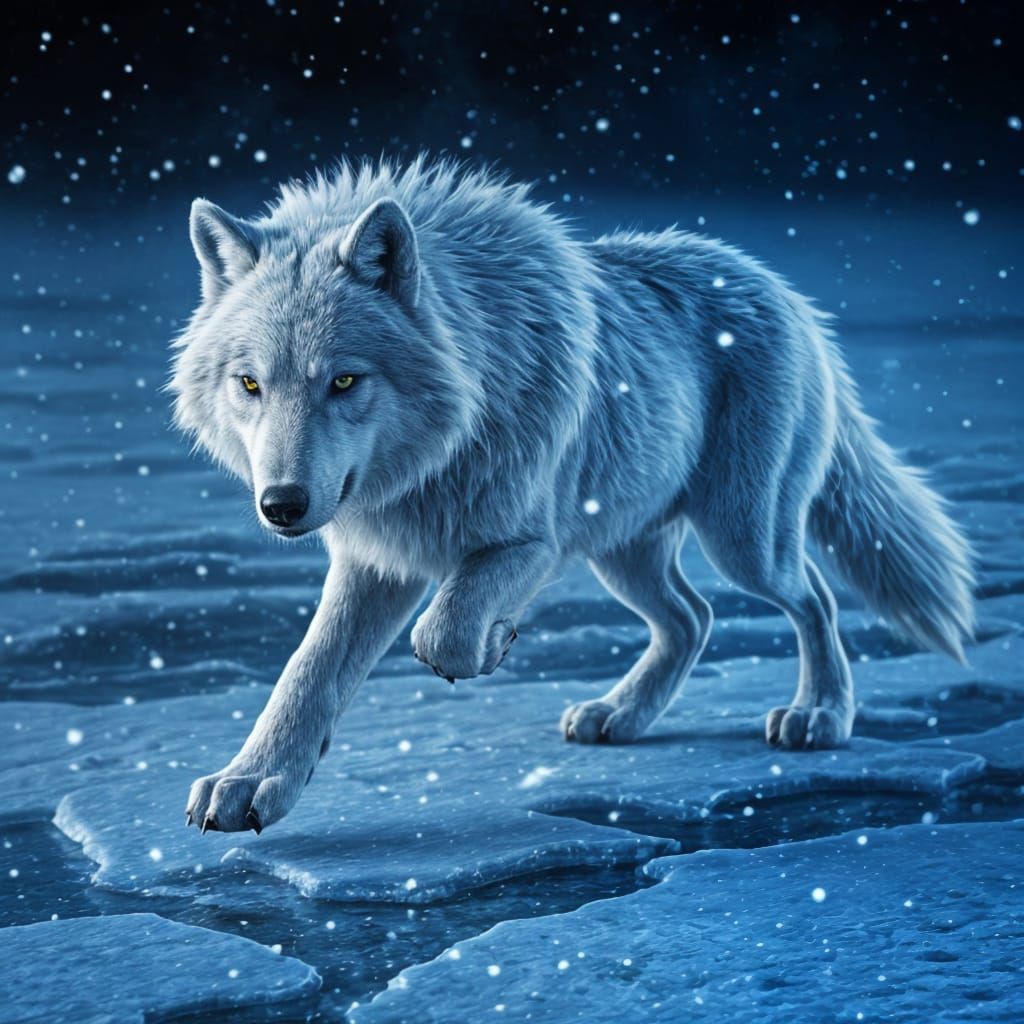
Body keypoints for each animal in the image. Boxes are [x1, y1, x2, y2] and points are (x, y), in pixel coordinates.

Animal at [171, 158, 974, 835]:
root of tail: (787, 294)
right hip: (625, 553)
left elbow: (445, 631)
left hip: (741, 541)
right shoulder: (378, 557)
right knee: (693, 618)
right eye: (250, 383)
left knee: (814, 598)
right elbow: (305, 672)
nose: (281, 505)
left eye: (343, 380)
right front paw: (250, 782)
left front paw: (494, 642)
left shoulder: (536, 540)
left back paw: (821, 715)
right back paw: (620, 715)